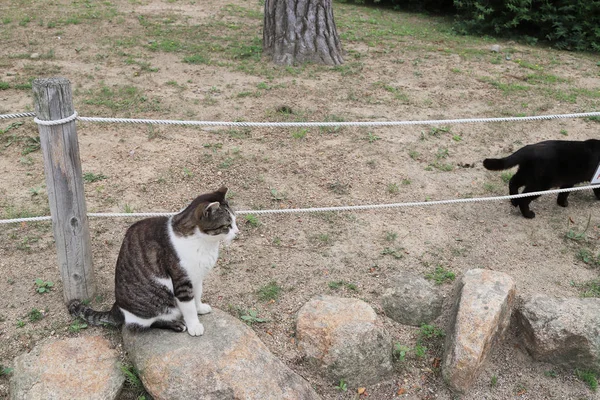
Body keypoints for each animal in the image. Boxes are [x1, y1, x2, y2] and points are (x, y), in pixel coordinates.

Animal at [69, 187, 238, 334]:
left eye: (235, 221)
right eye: (227, 225)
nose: (237, 232)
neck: (205, 243)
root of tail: (116, 308)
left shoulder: (196, 278)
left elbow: (197, 295)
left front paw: (200, 308)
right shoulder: (182, 281)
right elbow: (188, 307)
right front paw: (194, 325)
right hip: (153, 305)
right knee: (143, 324)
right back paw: (176, 324)